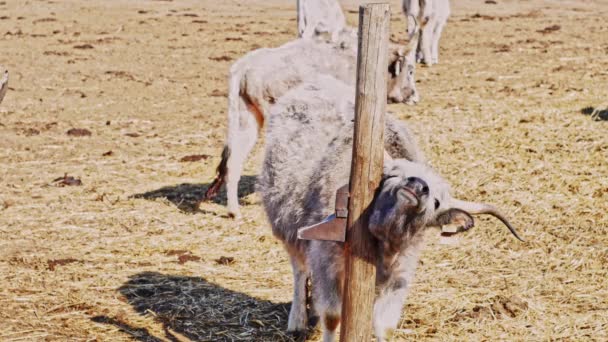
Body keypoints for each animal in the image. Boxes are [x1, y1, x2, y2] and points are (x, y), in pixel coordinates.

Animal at [202, 28, 420, 218]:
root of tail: (246, 66)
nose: (415, 97)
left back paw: (234, 211)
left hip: (246, 119)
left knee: (233, 161)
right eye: (410, 70)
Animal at [258, 76, 524, 340]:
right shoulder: (325, 261)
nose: (417, 185)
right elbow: (332, 317)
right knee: (299, 271)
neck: (383, 245)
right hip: (286, 228)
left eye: (437, 201)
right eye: (395, 174)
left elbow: (384, 325)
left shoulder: (399, 277)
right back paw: (298, 319)